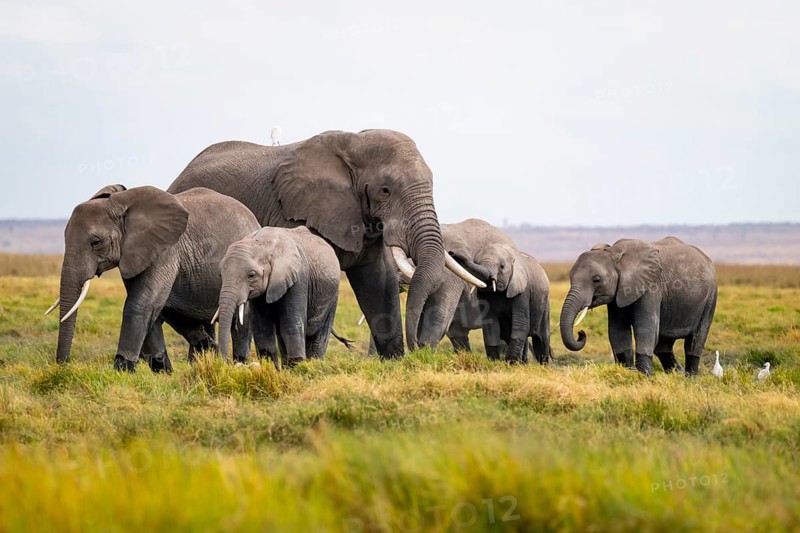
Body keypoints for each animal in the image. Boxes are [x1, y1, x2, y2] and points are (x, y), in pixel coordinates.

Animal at [50, 185, 261, 371]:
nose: (63, 366)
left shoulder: (164, 251)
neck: (121, 203)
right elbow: (152, 309)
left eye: (96, 242)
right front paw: (163, 372)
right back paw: (208, 350)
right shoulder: (134, 254)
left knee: (240, 320)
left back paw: (238, 362)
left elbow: (140, 304)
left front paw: (122, 371)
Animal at [216, 226, 341, 368]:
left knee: (319, 335)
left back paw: (314, 363)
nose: (226, 362)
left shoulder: (299, 278)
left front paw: (298, 368)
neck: (262, 243)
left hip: (333, 296)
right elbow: (262, 328)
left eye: (251, 275)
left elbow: (291, 324)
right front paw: (272, 367)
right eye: (220, 275)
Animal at [413, 219, 552, 363]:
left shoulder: (521, 290)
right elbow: (490, 325)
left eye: (502, 267)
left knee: (541, 339)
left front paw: (511, 363)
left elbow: (519, 324)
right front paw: (495, 362)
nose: (453, 253)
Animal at [560, 237, 717, 375]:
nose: (581, 333)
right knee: (663, 346)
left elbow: (645, 329)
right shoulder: (618, 294)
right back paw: (677, 374)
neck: (614, 253)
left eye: (596, 279)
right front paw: (628, 372)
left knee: (695, 341)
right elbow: (617, 331)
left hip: (710, 297)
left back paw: (691, 377)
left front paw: (644, 376)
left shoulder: (651, 286)